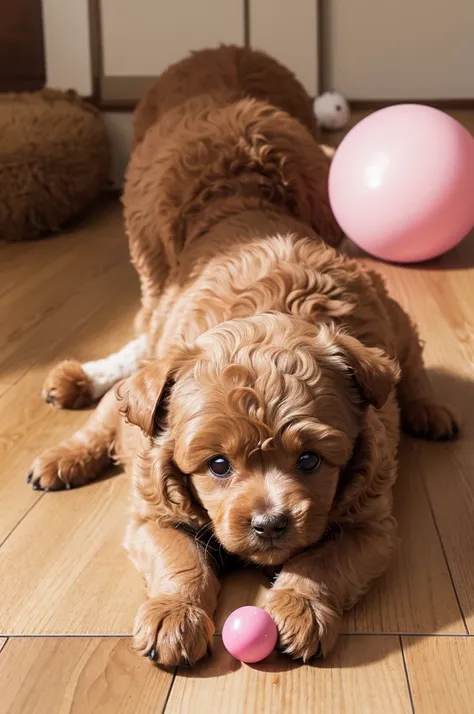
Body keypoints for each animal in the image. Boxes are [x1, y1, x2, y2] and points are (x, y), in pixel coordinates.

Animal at [30, 47, 460, 664]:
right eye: (217, 465)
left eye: (311, 460)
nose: (270, 524)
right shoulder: (152, 505)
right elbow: (178, 553)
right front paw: (173, 614)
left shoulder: (372, 521)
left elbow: (326, 559)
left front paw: (299, 606)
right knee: (113, 409)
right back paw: (65, 449)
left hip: (396, 324)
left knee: (414, 364)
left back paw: (429, 410)